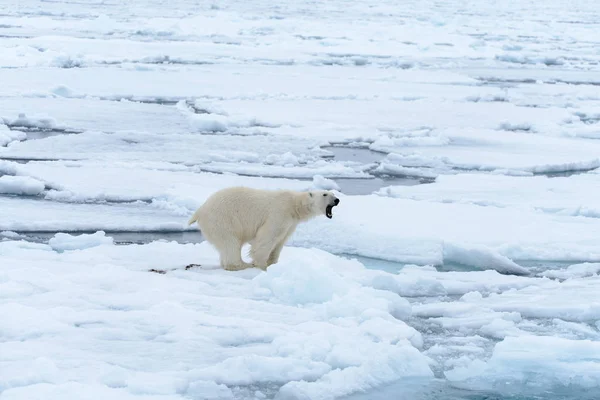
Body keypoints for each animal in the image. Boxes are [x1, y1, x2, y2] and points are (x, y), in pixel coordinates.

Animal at [189, 188, 338, 272]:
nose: (337, 200)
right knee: (230, 242)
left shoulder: (291, 223)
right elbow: (267, 238)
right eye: (325, 194)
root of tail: (200, 211)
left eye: (333, 193)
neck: (294, 205)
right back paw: (242, 265)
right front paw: (261, 266)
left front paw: (273, 264)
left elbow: (280, 242)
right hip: (223, 220)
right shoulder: (279, 213)